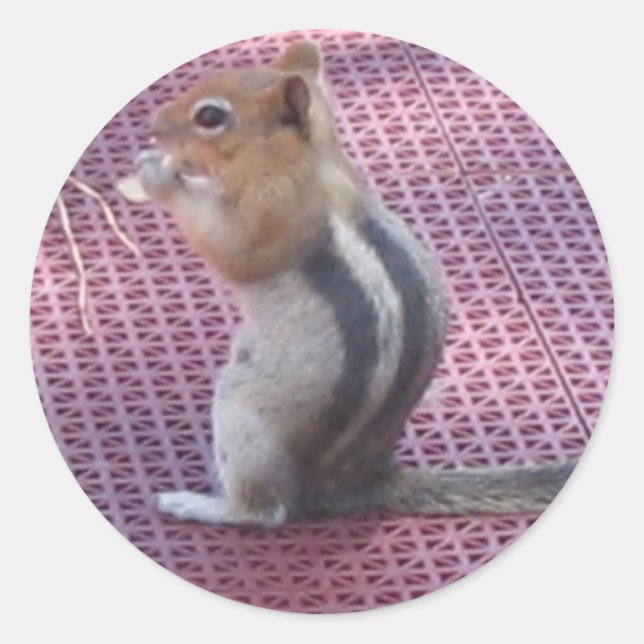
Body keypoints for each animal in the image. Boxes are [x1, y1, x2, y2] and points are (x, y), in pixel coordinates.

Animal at [136, 41, 575, 527]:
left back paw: (200, 504)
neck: (316, 166)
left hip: (243, 413)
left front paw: (159, 174)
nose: (153, 127)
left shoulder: (270, 213)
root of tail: (361, 481)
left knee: (268, 511)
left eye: (211, 116)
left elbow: (228, 247)